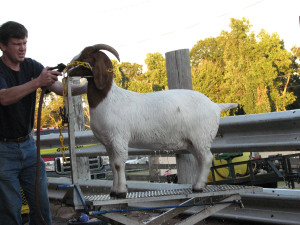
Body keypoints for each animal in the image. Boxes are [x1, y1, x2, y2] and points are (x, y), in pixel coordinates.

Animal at [68, 44, 239, 199]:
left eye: (86, 57)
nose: (67, 70)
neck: (107, 99)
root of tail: (216, 106)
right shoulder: (109, 143)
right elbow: (112, 165)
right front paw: (114, 191)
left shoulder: (118, 139)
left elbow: (118, 164)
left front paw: (121, 191)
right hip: (192, 141)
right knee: (201, 160)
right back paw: (198, 184)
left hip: (201, 137)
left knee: (207, 158)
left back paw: (198, 186)